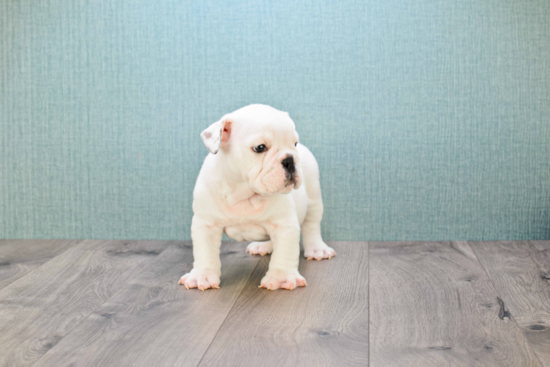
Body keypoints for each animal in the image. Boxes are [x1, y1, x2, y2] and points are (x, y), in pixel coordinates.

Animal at [180, 103, 336, 290]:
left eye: (295, 144)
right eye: (260, 148)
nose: (290, 159)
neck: (244, 193)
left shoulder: (285, 225)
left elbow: (285, 252)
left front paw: (281, 277)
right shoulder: (206, 224)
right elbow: (205, 253)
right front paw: (201, 276)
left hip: (313, 198)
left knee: (311, 225)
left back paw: (317, 249)